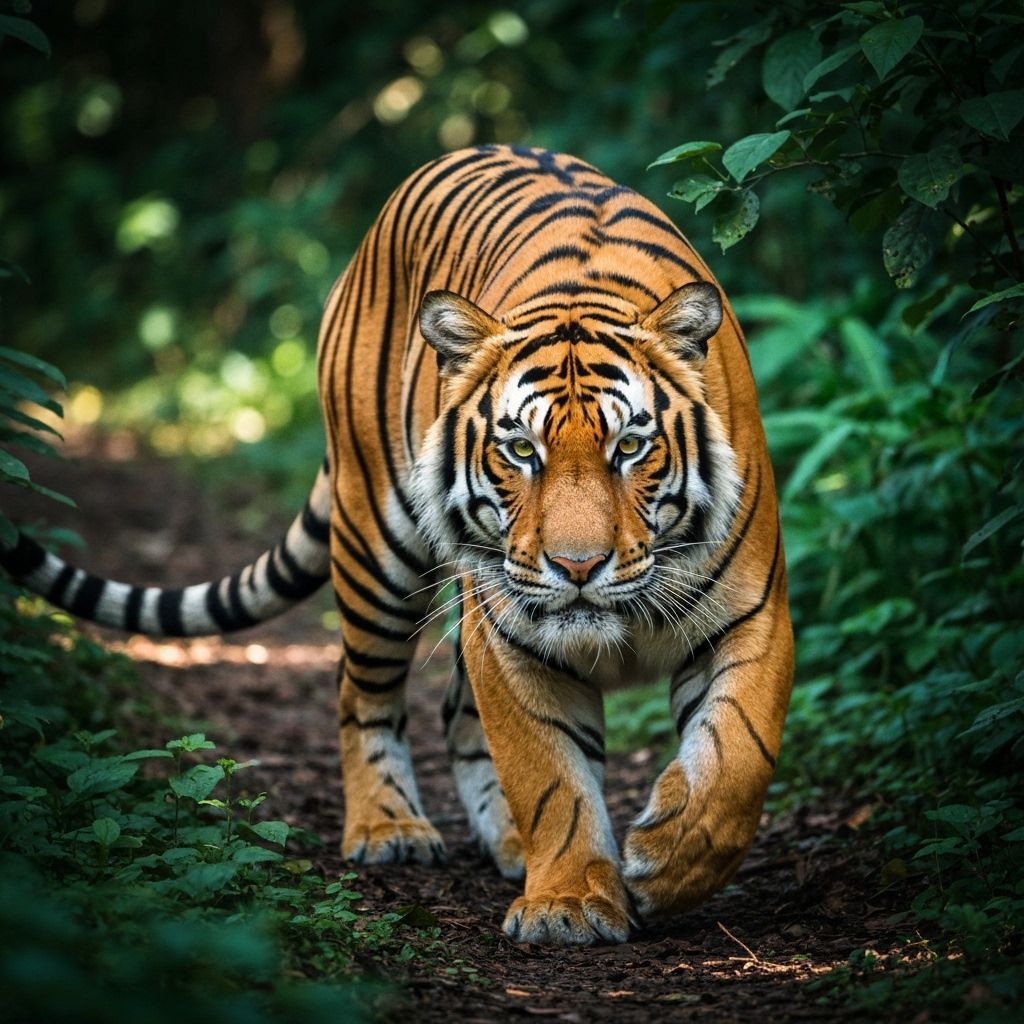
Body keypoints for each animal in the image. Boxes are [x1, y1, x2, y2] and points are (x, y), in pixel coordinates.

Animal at [1, 144, 794, 946]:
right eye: (520, 449)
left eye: (630, 446)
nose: (577, 567)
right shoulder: (511, 636)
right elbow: (550, 777)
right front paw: (569, 903)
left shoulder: (753, 617)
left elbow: (737, 757)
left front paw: (668, 860)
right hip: (376, 544)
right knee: (363, 690)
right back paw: (389, 828)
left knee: (453, 712)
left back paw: (509, 843)